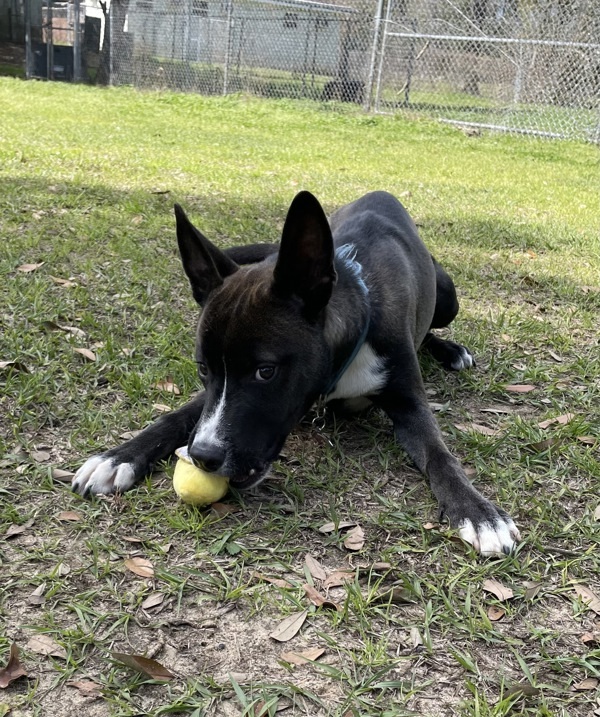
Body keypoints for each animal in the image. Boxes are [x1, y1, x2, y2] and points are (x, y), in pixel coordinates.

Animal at [72, 190, 516, 552]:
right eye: (201, 369)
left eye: (266, 371)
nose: (203, 456)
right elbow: (175, 417)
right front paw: (118, 458)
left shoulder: (409, 403)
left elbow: (439, 455)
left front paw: (477, 511)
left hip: (448, 295)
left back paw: (451, 350)